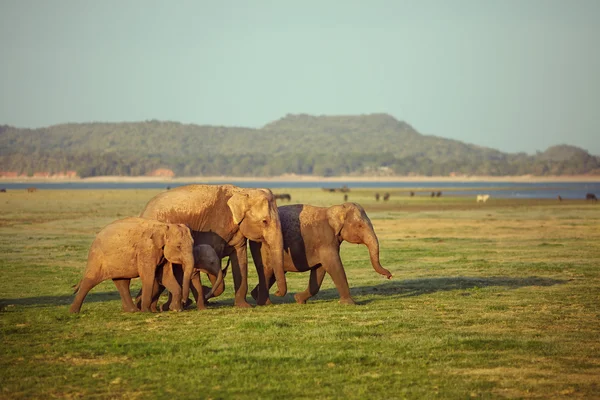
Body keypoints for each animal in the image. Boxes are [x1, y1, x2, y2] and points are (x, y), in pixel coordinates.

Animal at [139, 183, 288, 308]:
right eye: (264, 221)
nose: (277, 293)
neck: (241, 191)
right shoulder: (214, 229)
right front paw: (206, 293)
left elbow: (240, 260)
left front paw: (244, 306)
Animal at [250, 203, 394, 306]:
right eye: (359, 226)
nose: (389, 276)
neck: (335, 208)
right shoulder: (326, 241)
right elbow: (333, 265)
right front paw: (350, 304)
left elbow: (319, 270)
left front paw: (299, 299)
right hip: (262, 248)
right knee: (267, 272)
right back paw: (265, 302)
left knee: (273, 274)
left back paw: (255, 296)